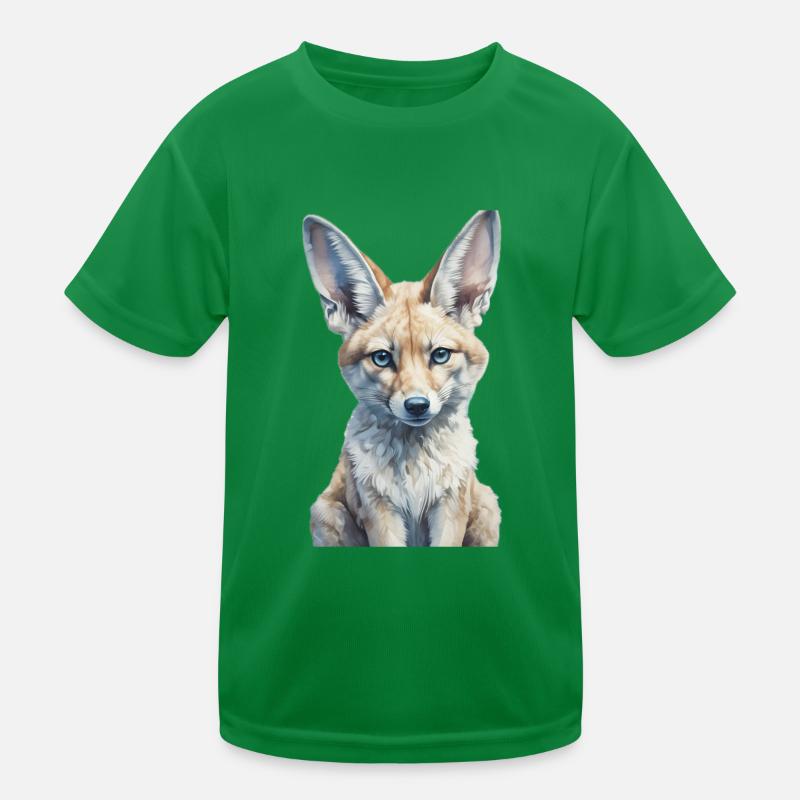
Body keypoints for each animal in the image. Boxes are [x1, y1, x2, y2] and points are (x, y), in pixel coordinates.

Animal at [302, 210, 502, 547]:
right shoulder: (378, 509)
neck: (415, 470)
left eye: (440, 355)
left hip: (488, 507)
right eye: (382, 358)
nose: (417, 405)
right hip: (325, 513)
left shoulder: (450, 506)